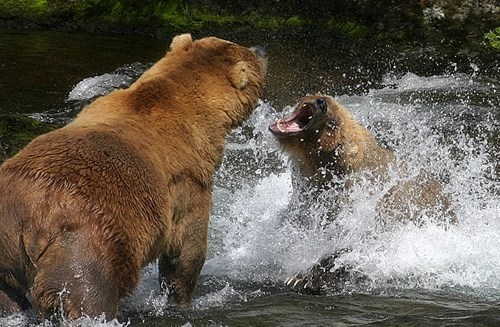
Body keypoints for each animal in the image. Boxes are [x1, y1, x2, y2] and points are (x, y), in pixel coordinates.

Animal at [0, 34, 268, 322]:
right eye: (249, 53)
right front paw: (181, 300)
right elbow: (187, 247)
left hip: (5, 241)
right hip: (85, 248)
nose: (262, 49)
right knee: (87, 295)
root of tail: (31, 221)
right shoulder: (190, 180)